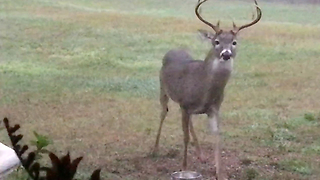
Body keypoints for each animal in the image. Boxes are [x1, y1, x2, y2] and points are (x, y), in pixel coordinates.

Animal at [153, 0, 262, 179]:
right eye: (216, 41)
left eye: (234, 42)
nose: (226, 54)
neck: (204, 90)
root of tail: (173, 50)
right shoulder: (185, 104)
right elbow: (184, 137)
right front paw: (184, 169)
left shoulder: (214, 108)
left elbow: (217, 136)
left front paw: (220, 173)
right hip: (163, 88)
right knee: (163, 113)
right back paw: (155, 149)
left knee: (188, 122)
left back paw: (201, 155)